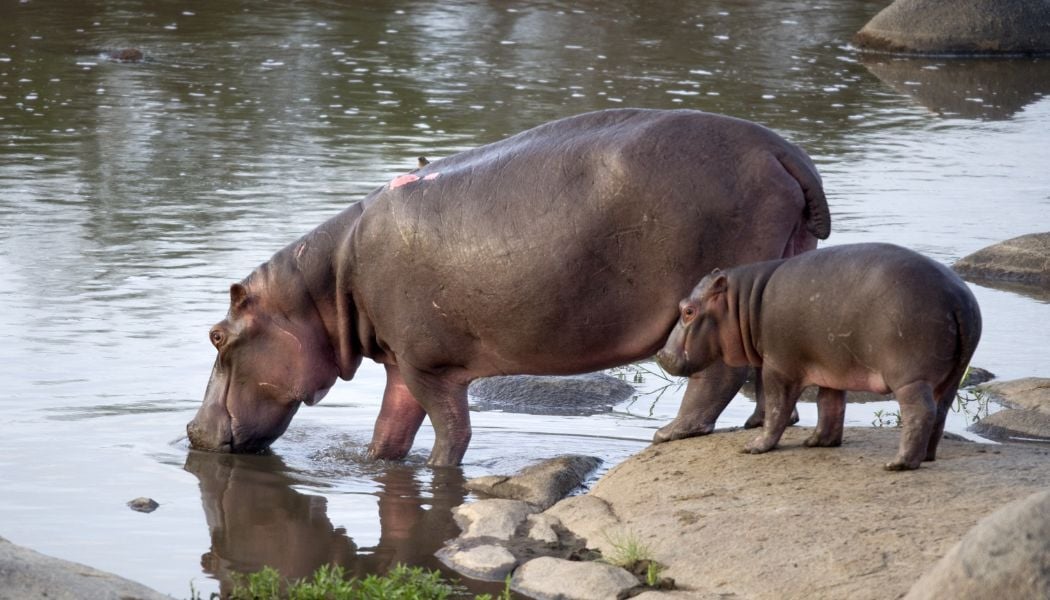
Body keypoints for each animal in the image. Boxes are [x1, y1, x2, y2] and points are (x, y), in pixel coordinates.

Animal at [186, 108, 831, 466]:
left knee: (718, 374)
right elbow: (389, 432)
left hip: (716, 293)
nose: (191, 431)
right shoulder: (400, 363)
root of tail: (785, 151)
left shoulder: (428, 366)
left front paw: (439, 468)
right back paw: (759, 425)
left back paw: (671, 433)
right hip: (778, 273)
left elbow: (452, 434)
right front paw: (376, 465)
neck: (319, 290)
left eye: (217, 336)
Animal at [655, 243, 982, 470]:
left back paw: (899, 464)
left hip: (910, 379)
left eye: (688, 310)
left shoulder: (778, 367)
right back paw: (927, 457)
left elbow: (777, 409)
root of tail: (958, 298)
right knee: (940, 411)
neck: (743, 303)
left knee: (919, 412)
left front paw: (754, 447)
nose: (661, 354)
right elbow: (830, 406)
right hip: (952, 377)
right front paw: (817, 442)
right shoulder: (830, 368)